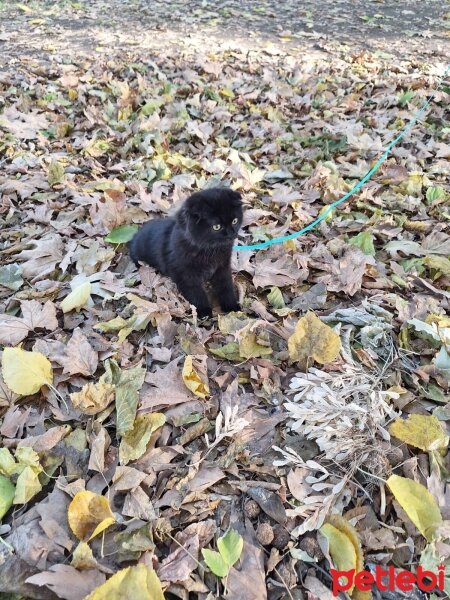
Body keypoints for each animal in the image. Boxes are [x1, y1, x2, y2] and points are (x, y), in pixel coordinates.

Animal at [128, 188, 244, 318]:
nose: (232, 234)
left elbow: (226, 286)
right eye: (216, 227)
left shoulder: (222, 267)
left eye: (235, 221)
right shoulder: (184, 274)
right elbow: (195, 292)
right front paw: (204, 311)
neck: (209, 250)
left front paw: (232, 307)